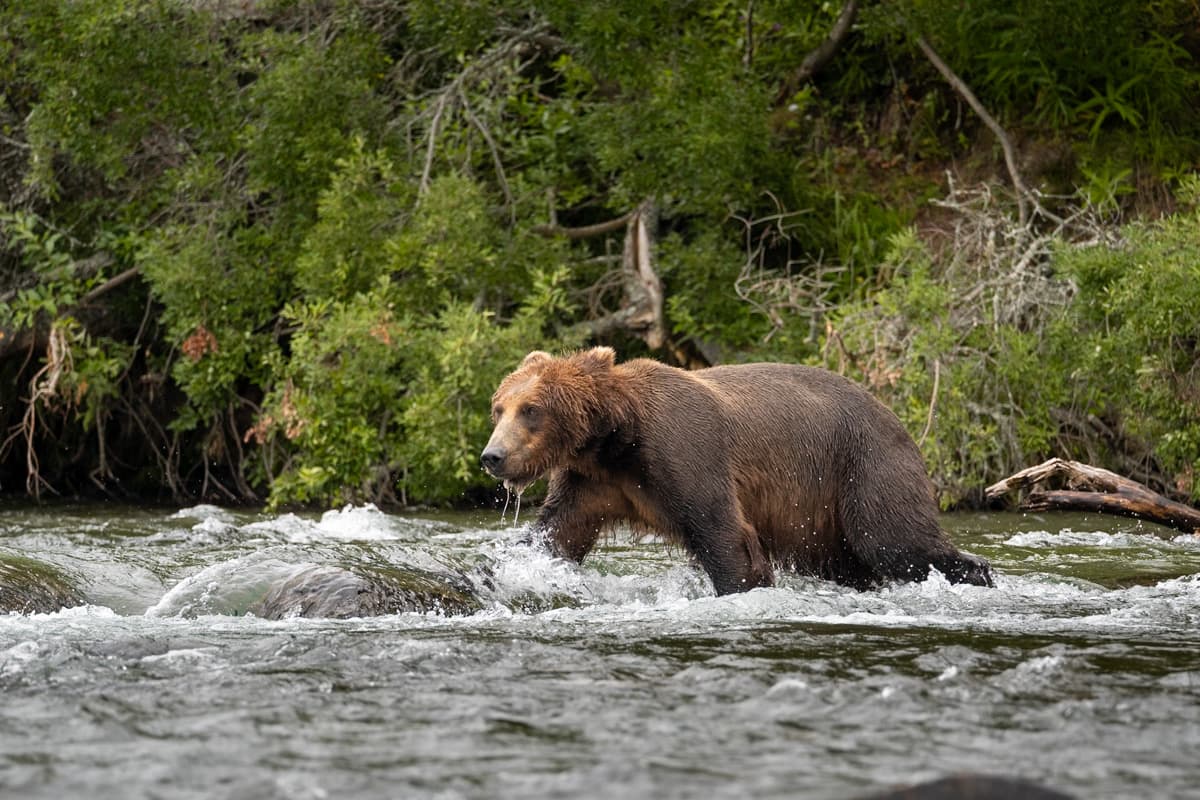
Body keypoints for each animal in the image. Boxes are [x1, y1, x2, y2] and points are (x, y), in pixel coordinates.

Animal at [480, 347, 993, 595]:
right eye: (498, 407)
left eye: (531, 409)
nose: (493, 456)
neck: (615, 439)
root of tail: (896, 415)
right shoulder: (595, 482)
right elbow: (555, 535)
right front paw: (501, 568)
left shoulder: (683, 452)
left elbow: (724, 533)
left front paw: (742, 585)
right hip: (821, 515)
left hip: (864, 464)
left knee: (893, 540)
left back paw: (977, 575)